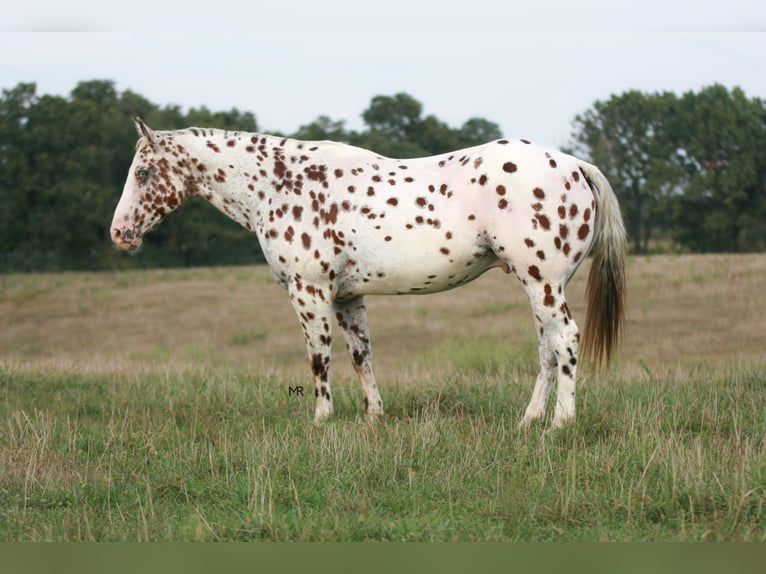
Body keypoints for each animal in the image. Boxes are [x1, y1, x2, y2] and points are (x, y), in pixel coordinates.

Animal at [111, 118, 626, 428]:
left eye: (142, 173)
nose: (120, 233)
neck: (279, 183)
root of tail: (575, 164)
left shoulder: (310, 292)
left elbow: (319, 358)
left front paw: (321, 421)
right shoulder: (346, 297)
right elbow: (361, 356)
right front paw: (374, 417)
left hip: (542, 282)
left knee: (566, 340)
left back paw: (560, 424)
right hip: (542, 286)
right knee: (547, 349)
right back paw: (528, 421)